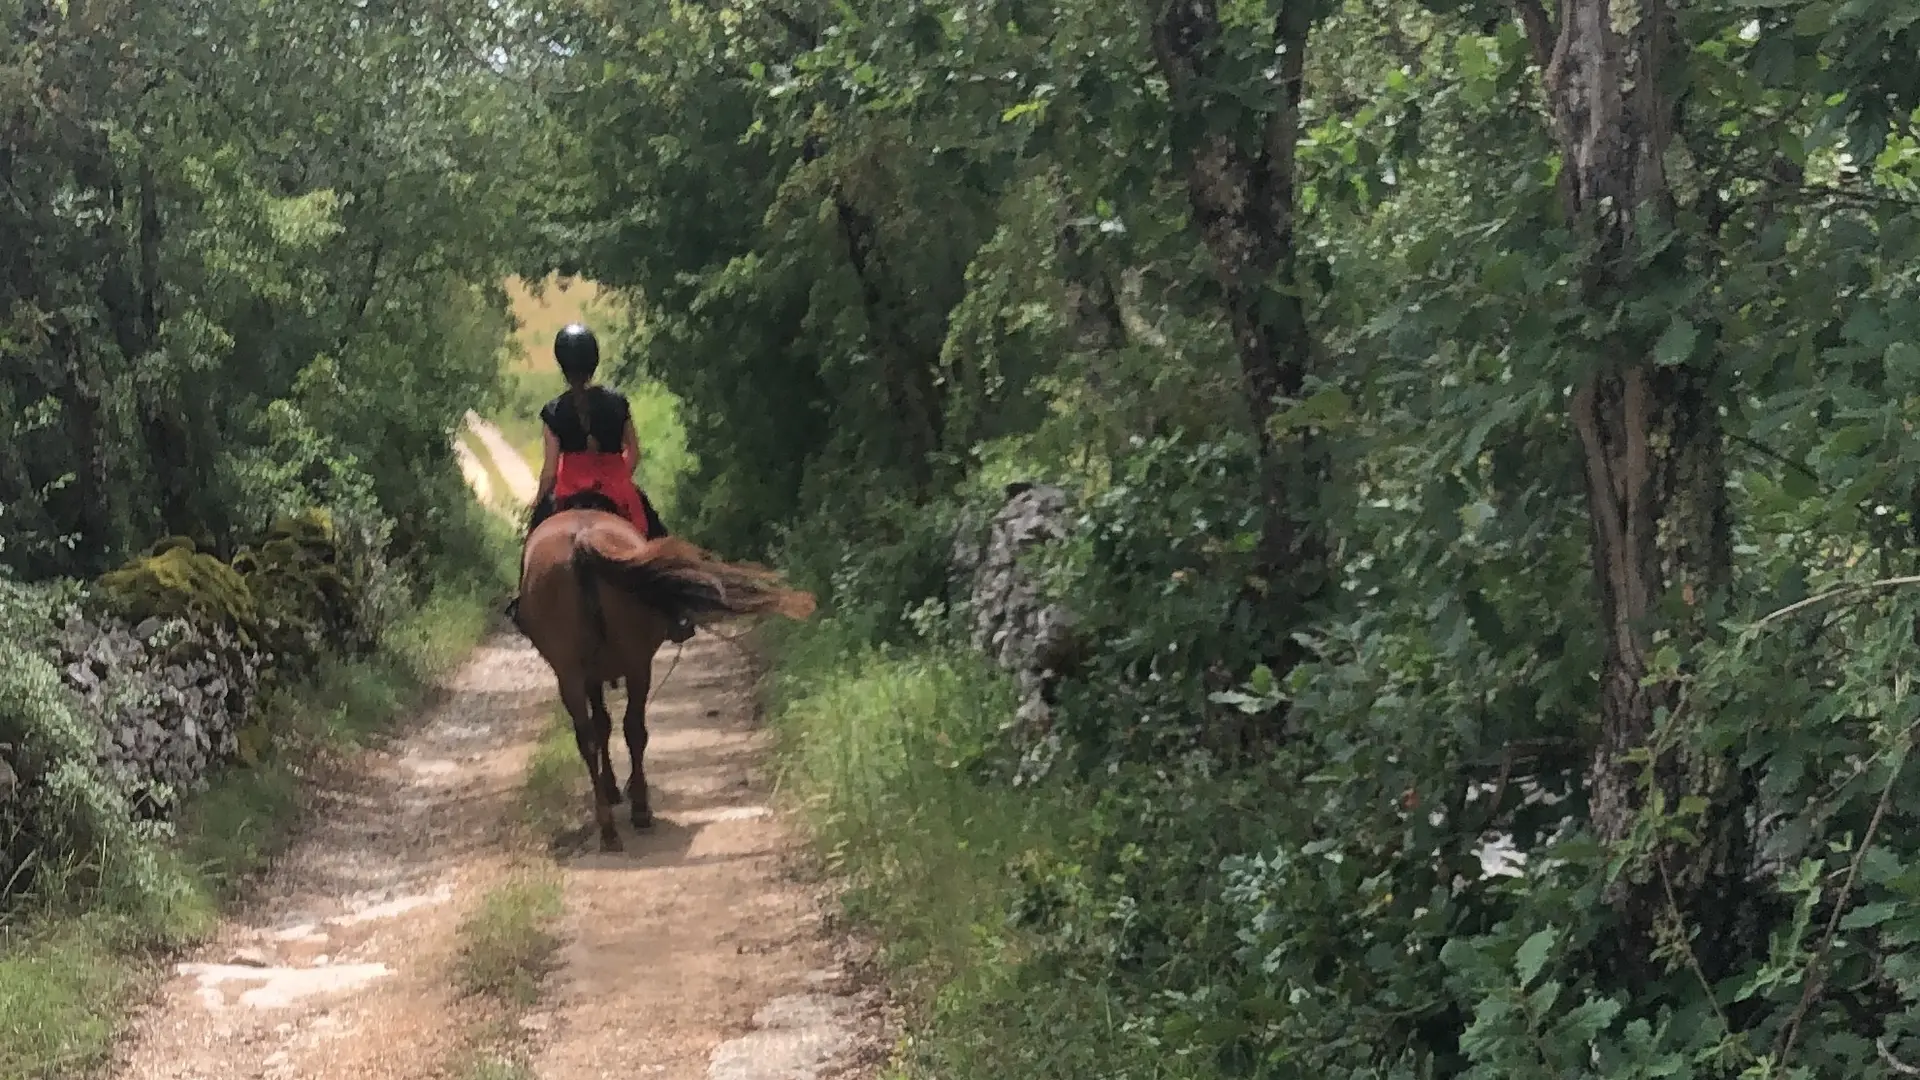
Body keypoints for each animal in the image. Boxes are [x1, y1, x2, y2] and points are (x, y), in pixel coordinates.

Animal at [515, 506, 815, 852]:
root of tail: (582, 540)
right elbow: (607, 725)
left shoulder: (591, 677)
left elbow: (602, 725)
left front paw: (612, 787)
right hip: (629, 665)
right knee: (632, 730)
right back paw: (638, 810)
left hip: (581, 673)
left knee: (595, 737)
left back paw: (611, 826)